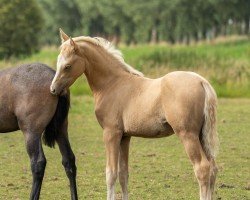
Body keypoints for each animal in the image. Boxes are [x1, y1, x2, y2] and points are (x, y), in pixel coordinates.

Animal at [50, 28, 219, 199]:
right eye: (58, 61)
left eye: (67, 66)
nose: (53, 89)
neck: (112, 84)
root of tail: (201, 81)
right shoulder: (125, 136)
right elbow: (123, 174)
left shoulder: (111, 133)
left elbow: (111, 173)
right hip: (200, 135)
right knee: (213, 167)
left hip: (187, 134)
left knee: (202, 168)